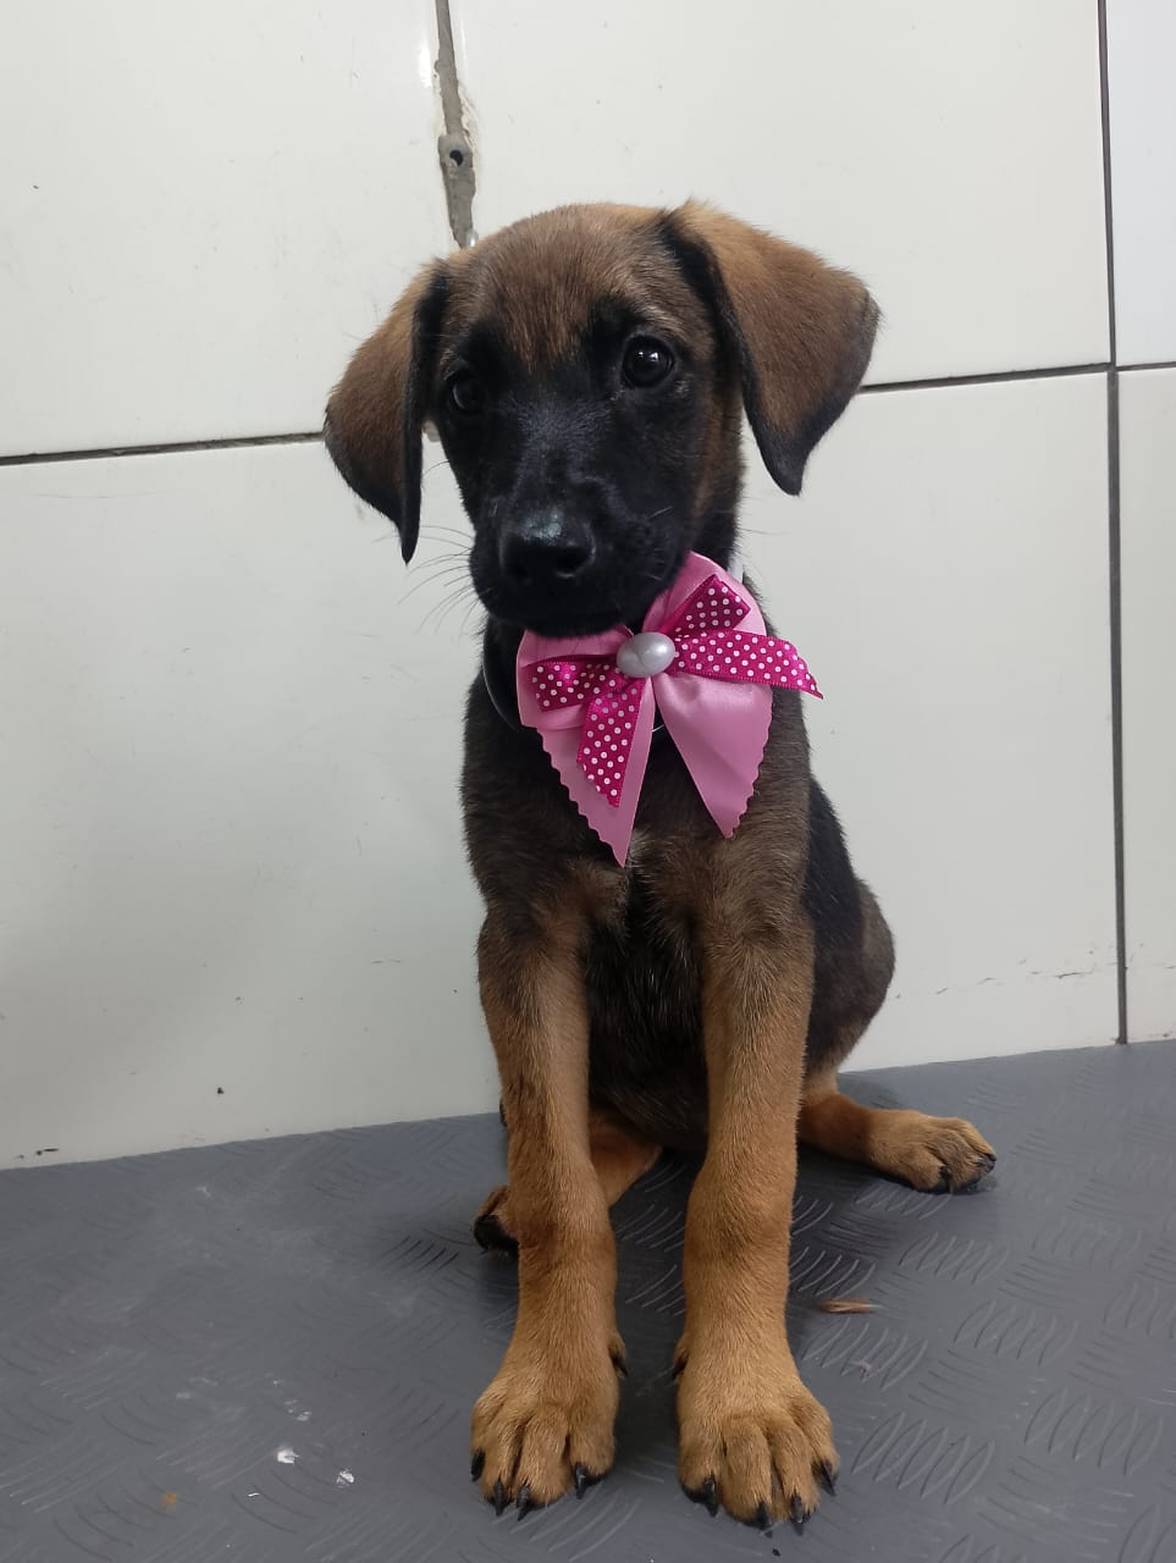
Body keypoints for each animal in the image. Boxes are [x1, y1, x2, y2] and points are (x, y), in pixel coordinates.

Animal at [324, 201, 996, 1529]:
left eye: (646, 360)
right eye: (464, 392)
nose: (540, 552)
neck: (631, 678)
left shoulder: (756, 937)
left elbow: (744, 1196)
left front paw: (744, 1404)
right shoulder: (525, 943)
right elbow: (564, 1203)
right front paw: (550, 1385)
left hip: (858, 936)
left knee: (792, 1107)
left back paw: (903, 1135)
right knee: (590, 1142)